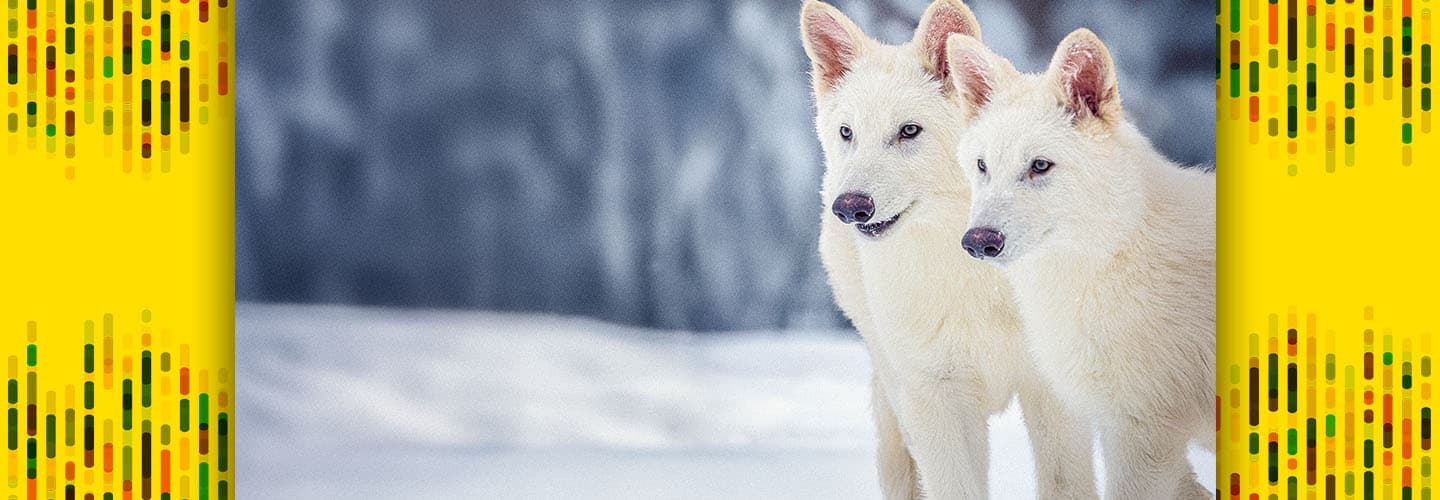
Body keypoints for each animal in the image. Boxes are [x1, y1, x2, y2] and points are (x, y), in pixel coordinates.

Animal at [801, 2, 1098, 498]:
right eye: (847, 133)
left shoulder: (1051, 391)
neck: (974, 278)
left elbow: (1066, 483)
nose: (850, 207)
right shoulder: (934, 398)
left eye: (909, 130)